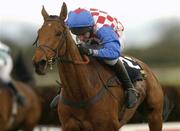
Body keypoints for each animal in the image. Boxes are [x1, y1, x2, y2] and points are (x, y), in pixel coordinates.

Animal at [32, 2, 169, 131]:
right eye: (39, 32)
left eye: (58, 33)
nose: (39, 62)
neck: (79, 93)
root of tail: (146, 69)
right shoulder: (68, 126)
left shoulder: (108, 126)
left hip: (155, 116)